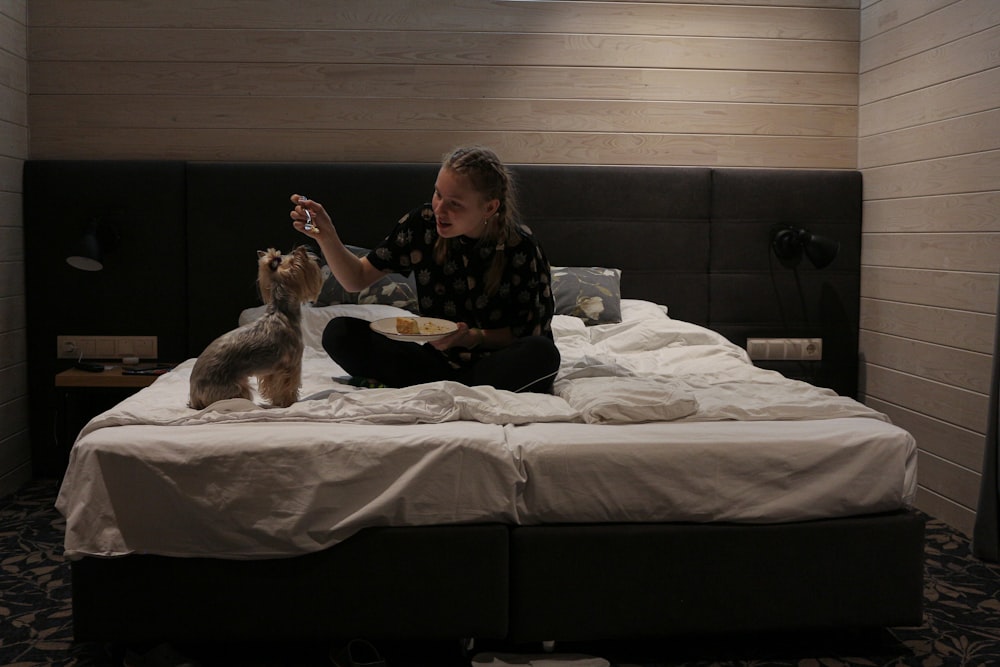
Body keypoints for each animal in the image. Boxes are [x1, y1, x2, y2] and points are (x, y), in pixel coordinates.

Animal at [189, 248, 322, 410]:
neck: (281, 310)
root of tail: (194, 397)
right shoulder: (292, 365)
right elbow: (289, 387)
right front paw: (290, 403)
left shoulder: (273, 371)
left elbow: (273, 388)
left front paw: (277, 403)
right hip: (233, 388)